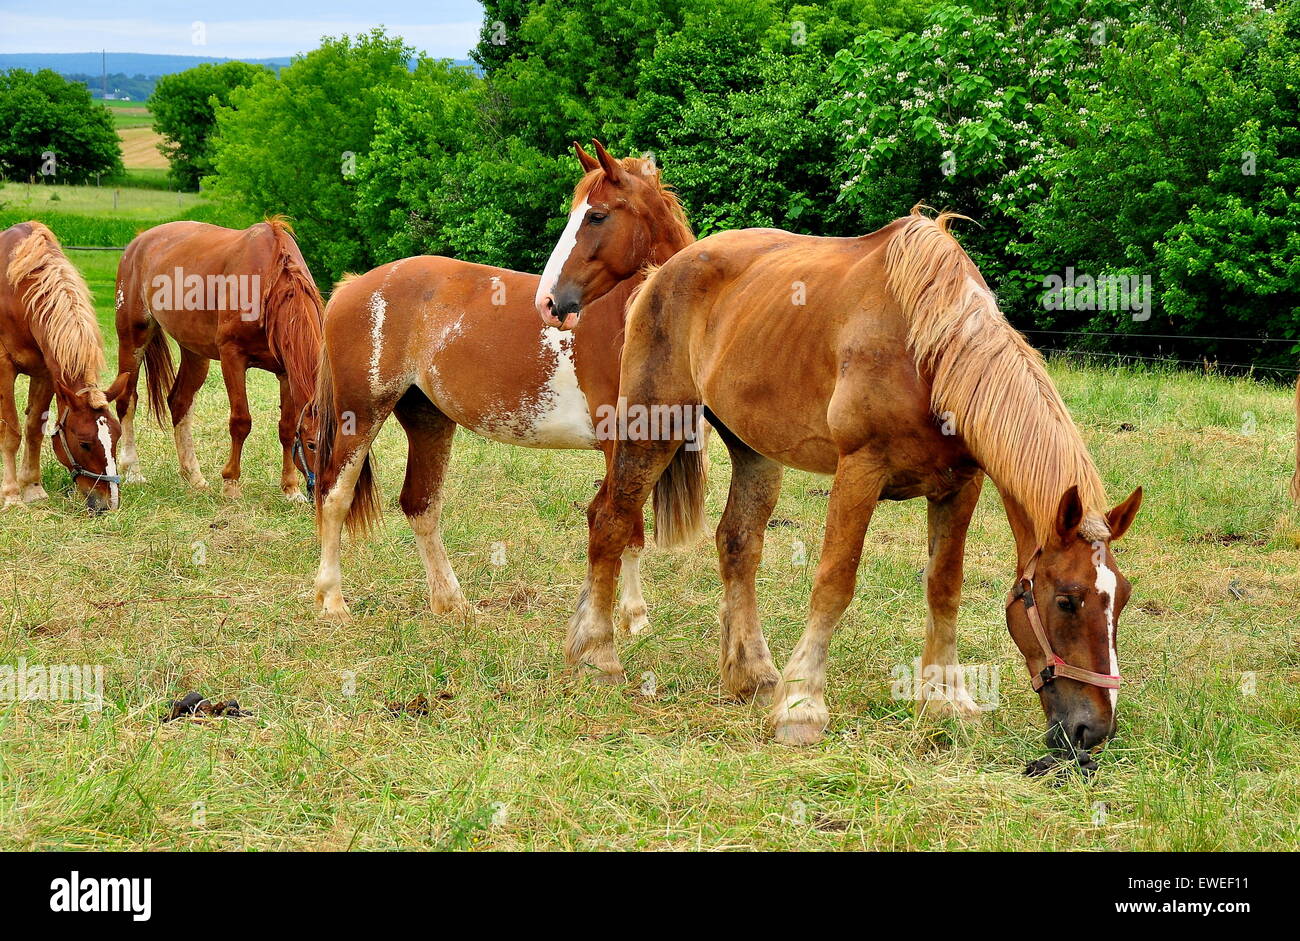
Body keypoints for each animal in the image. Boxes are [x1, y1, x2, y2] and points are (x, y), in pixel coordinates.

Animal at [0, 221, 123, 513]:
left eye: (117, 436)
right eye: (85, 443)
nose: (110, 502)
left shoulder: (46, 371)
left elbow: (34, 428)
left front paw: (33, 488)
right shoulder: (4, 366)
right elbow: (11, 433)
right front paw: (11, 494)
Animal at [110, 218, 323, 501]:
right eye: (311, 445)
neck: (268, 282)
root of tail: (139, 241)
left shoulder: (286, 371)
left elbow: (287, 428)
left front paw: (291, 489)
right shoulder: (232, 358)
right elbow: (241, 421)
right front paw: (230, 483)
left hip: (195, 352)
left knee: (179, 402)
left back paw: (194, 476)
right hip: (133, 338)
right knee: (127, 400)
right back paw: (133, 471)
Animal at [313, 141, 695, 627]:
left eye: (597, 216)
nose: (550, 303)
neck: (632, 316)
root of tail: (351, 287)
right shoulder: (619, 442)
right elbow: (622, 526)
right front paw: (630, 618)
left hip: (427, 418)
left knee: (421, 505)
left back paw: (452, 603)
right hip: (361, 414)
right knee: (334, 495)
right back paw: (332, 599)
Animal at [538, 207, 1144, 760]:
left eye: (1122, 599)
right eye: (1067, 601)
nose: (1094, 731)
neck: (928, 351)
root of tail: (661, 273)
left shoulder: (960, 486)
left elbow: (944, 587)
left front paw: (945, 699)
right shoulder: (860, 470)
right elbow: (834, 582)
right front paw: (802, 706)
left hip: (755, 452)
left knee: (738, 545)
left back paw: (752, 674)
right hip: (652, 428)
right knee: (611, 521)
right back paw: (596, 654)